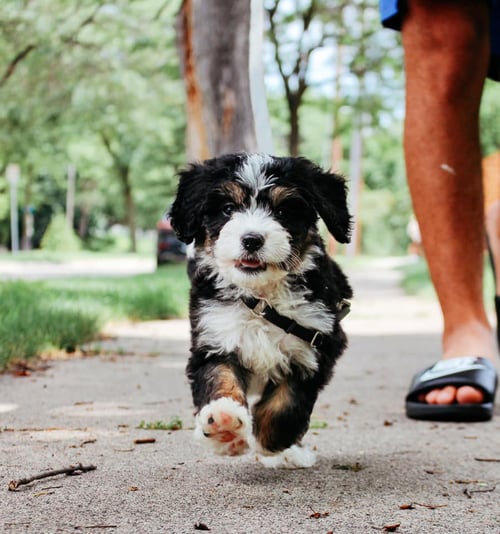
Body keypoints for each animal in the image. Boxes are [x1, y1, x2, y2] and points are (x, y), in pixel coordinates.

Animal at [170, 152, 354, 468]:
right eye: (228, 208)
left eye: (282, 212)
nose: (252, 239)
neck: (260, 299)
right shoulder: (215, 336)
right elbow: (220, 377)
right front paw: (225, 425)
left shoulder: (314, 345)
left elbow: (286, 404)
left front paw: (270, 442)